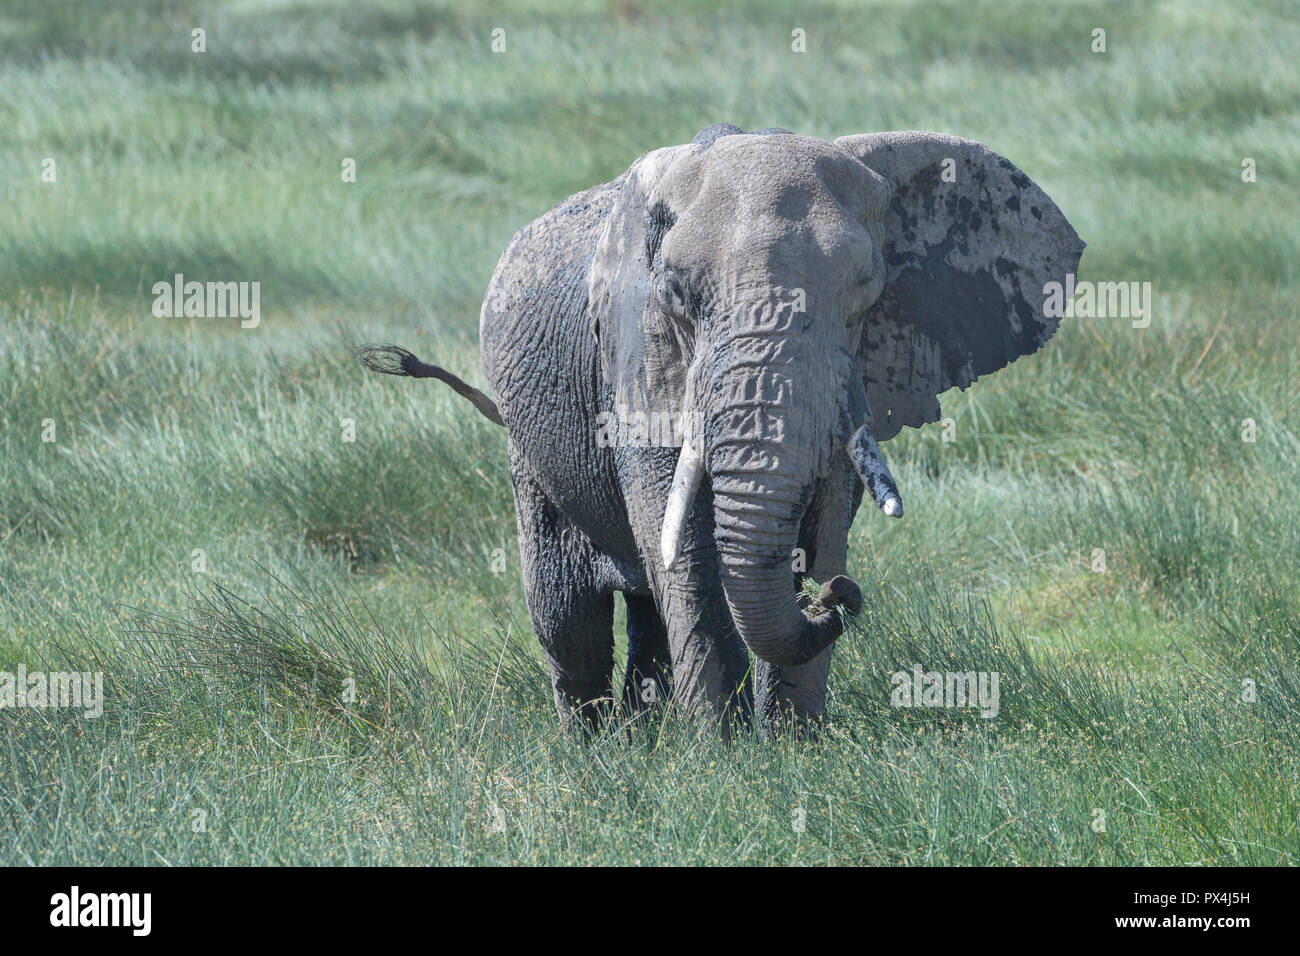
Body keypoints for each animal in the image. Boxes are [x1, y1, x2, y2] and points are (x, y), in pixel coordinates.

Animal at [358, 123, 1086, 738]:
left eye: (865, 291)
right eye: (678, 295)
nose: (832, 599)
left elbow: (821, 530)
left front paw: (794, 752)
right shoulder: (637, 359)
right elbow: (688, 558)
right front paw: (727, 762)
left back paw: (646, 735)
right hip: (527, 449)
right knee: (569, 616)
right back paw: (595, 756)